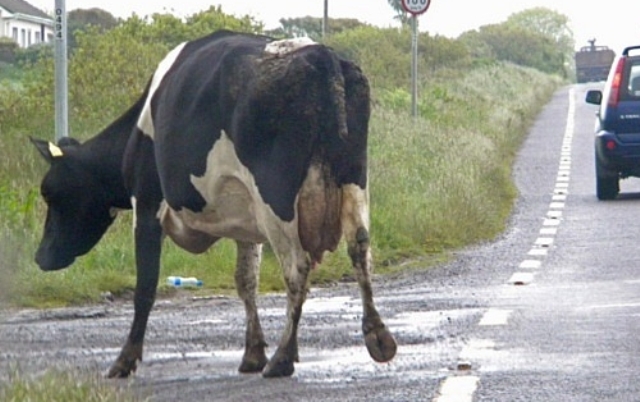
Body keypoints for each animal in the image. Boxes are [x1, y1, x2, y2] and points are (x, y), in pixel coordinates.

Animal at [32, 29, 398, 378]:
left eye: (49, 192)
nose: (40, 257)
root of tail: (321, 55)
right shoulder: (246, 219)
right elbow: (245, 281)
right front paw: (253, 353)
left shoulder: (147, 204)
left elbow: (145, 287)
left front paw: (125, 360)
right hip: (353, 180)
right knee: (360, 249)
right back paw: (376, 336)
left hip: (276, 197)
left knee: (297, 267)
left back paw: (282, 358)